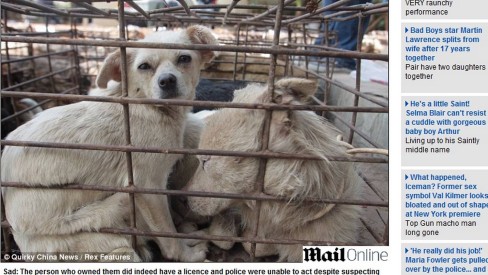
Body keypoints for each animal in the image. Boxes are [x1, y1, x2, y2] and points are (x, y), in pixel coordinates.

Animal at [0, 25, 217, 264]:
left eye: (184, 58)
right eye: (144, 66)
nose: (167, 81)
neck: (147, 106)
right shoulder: (148, 185)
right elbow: (167, 232)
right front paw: (186, 254)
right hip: (116, 241)